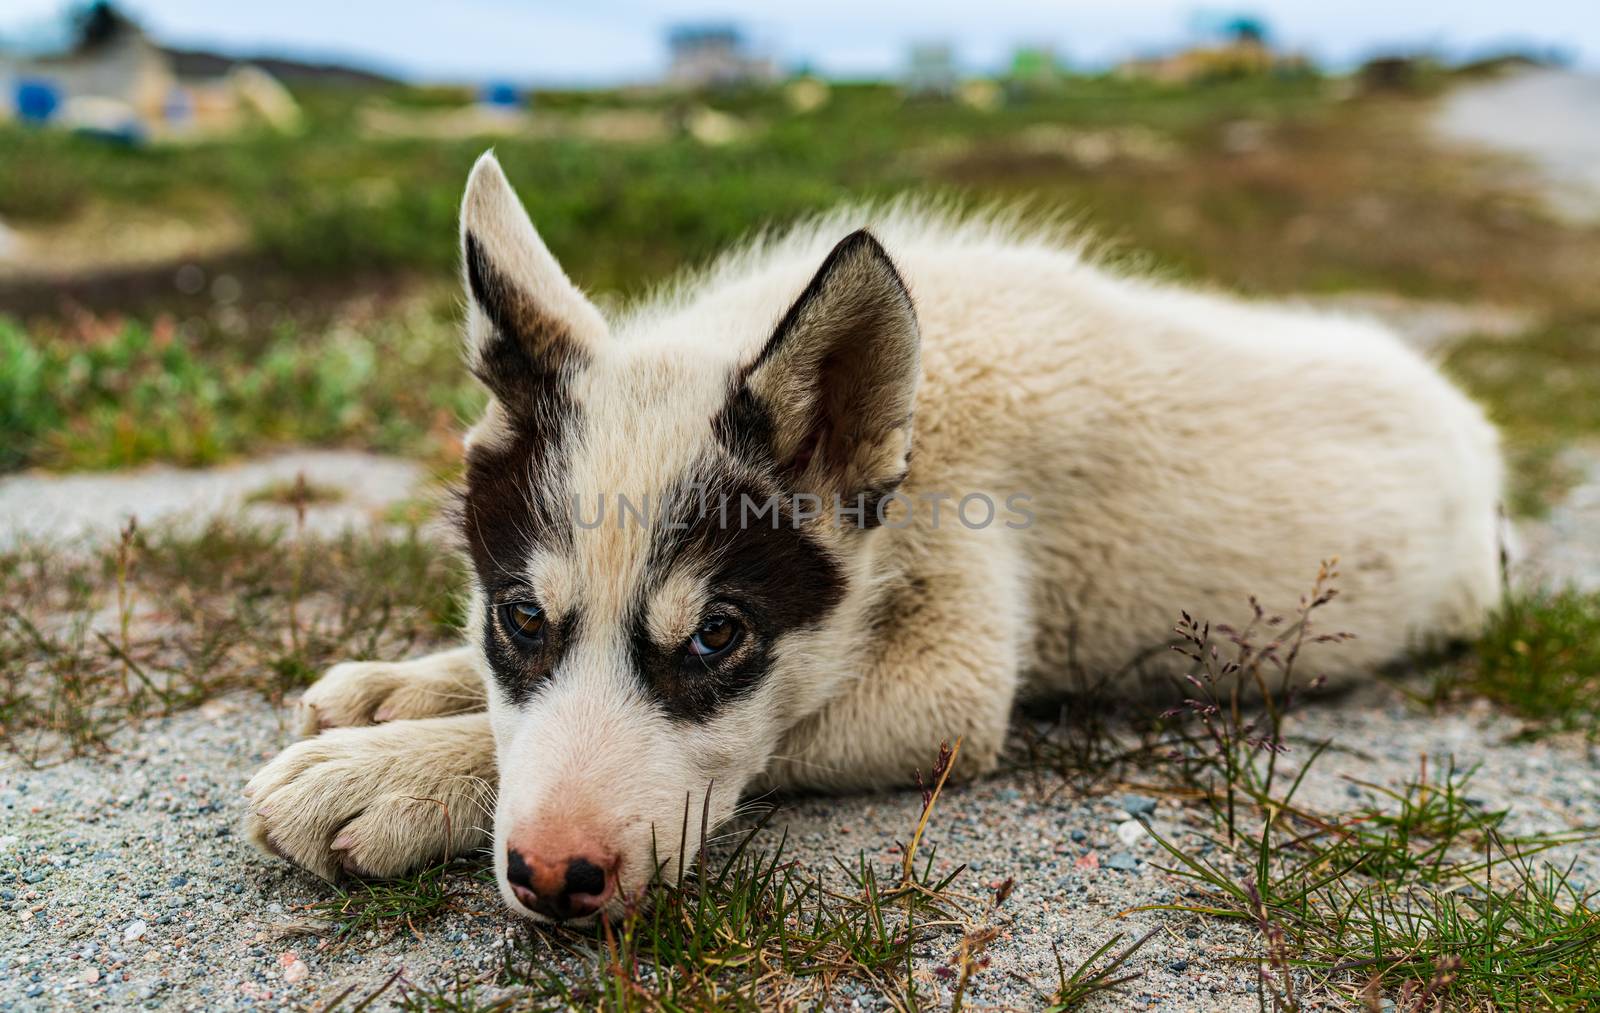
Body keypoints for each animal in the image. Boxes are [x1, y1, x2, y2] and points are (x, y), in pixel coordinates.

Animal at [243, 152, 1504, 921]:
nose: (556, 876)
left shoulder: (945, 685)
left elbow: (765, 734)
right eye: (520, 615)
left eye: (717, 638)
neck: (913, 449)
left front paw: (391, 772)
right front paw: (401, 689)